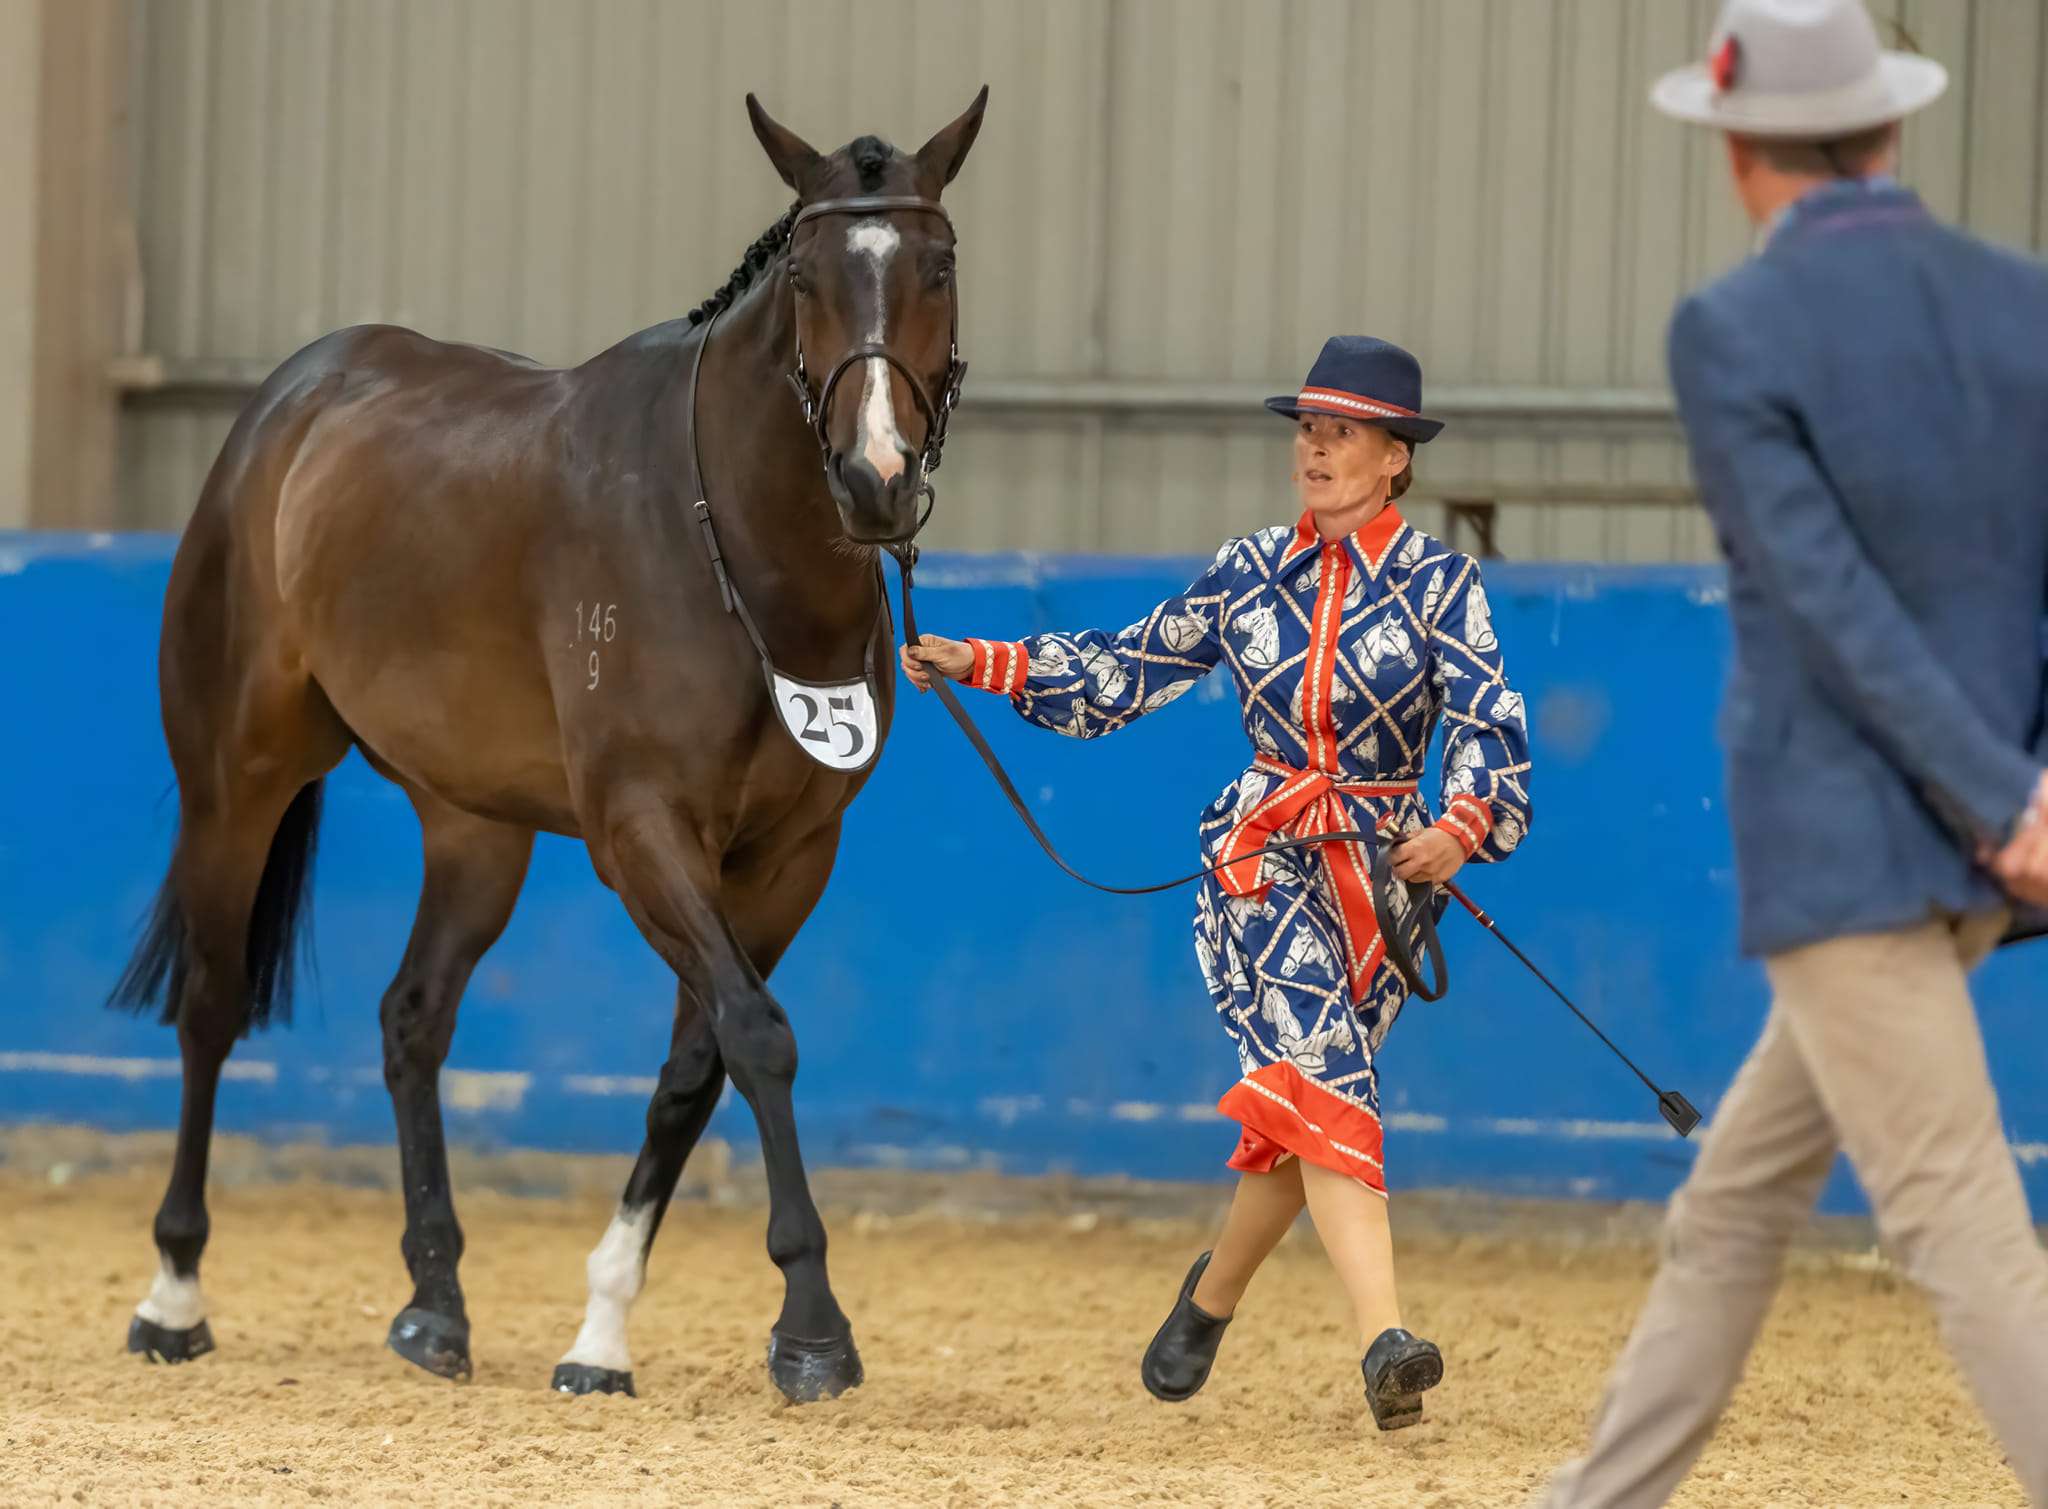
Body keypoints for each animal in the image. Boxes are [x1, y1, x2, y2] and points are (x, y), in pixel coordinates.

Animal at [107, 87, 988, 1405]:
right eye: (806, 279)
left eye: (937, 266)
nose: (875, 480)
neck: (735, 552)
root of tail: (288, 406)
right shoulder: (640, 835)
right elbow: (757, 1036)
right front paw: (813, 1327)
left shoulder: (788, 859)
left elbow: (697, 1063)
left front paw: (603, 1331)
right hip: (235, 779)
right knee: (212, 1007)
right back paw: (173, 1296)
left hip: (475, 827)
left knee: (413, 1017)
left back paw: (434, 1306)